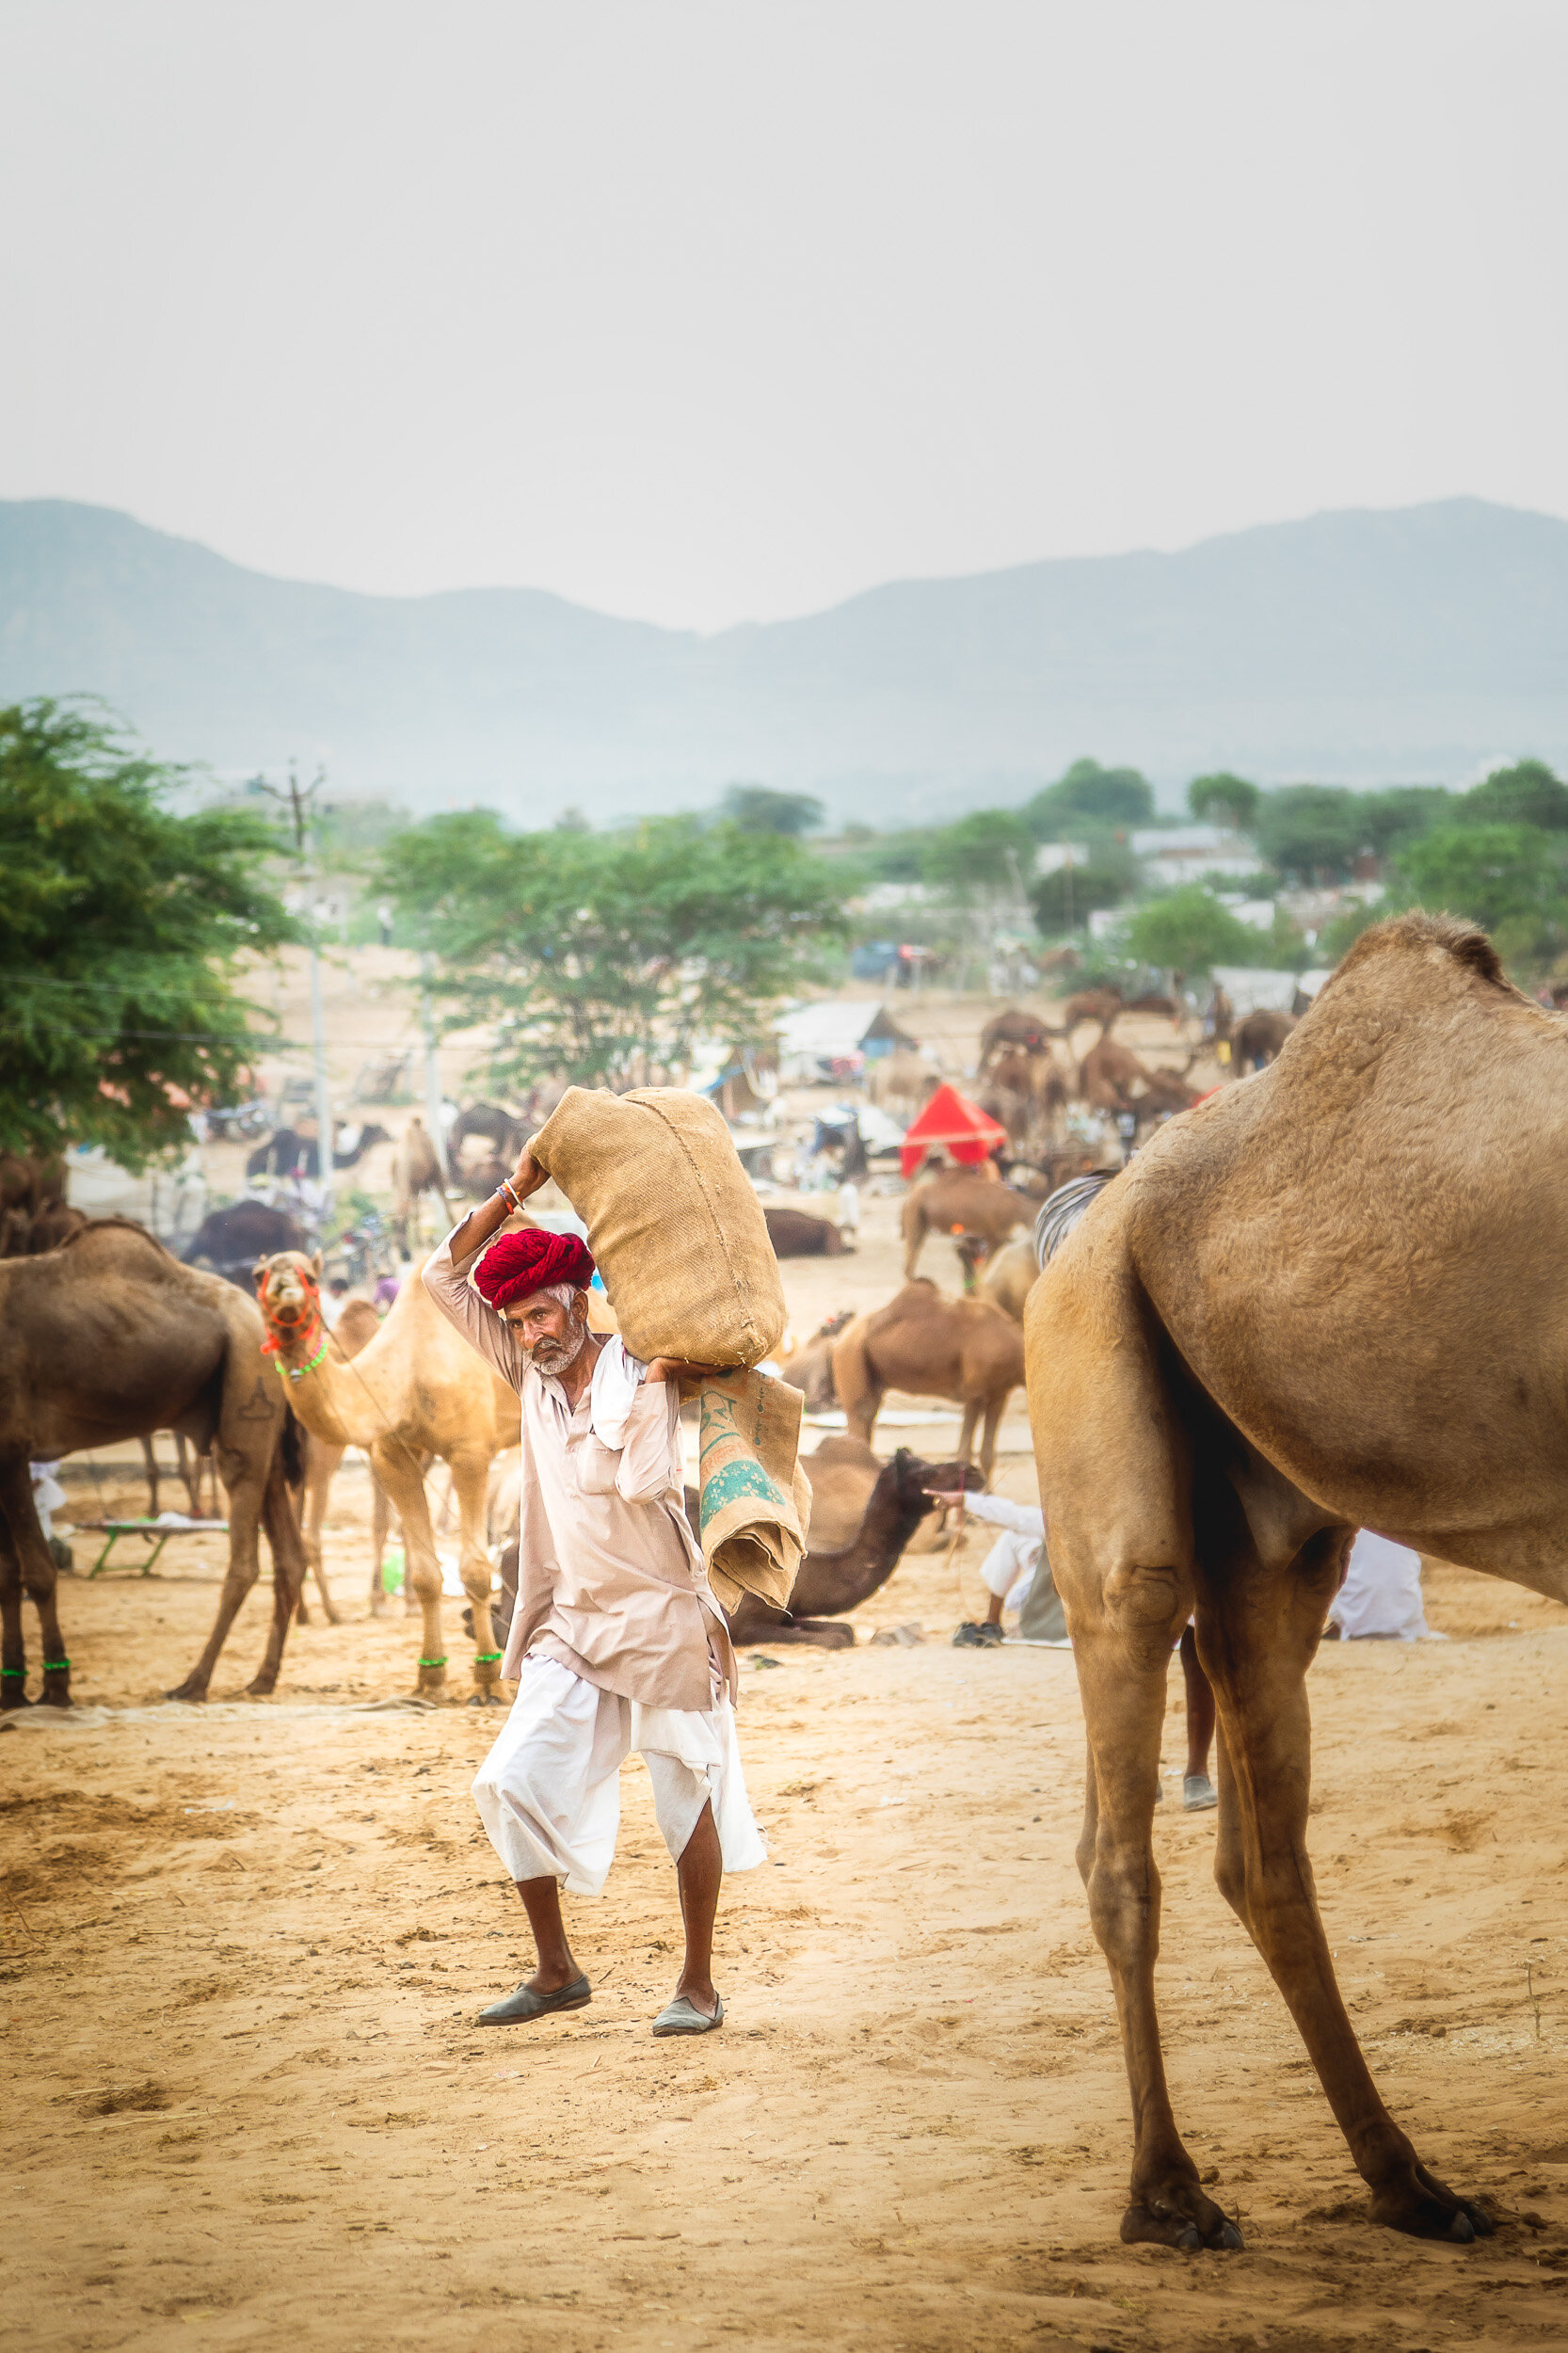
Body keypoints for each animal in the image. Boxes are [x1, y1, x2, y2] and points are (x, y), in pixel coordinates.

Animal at [0, 1220, 307, 1707]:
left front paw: (54, 1687)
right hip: (266, 1434)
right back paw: (261, 1679)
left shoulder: (12, 1442)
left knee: (244, 1556)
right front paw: (12, 1690)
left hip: (245, 1385)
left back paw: (194, 1682)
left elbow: (38, 1571)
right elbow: (7, 1575)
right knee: (289, 1555)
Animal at [253, 1249, 518, 1696]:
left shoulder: (470, 1452)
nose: (285, 1288)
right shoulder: (392, 1455)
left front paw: (487, 1682)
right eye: (260, 1275)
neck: (409, 1370)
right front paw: (429, 1677)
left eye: (309, 1276)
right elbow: (428, 1574)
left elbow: (475, 1570)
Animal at [833, 1280, 1024, 1481]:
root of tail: (841, 1338)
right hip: (850, 1356)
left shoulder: (999, 1394)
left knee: (868, 1419)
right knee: (860, 1414)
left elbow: (987, 1455)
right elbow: (964, 1454)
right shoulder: (975, 1394)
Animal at [1021, 911, 1568, 2255]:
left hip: (1278, 1530)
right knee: (1132, 1706)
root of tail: (1090, 1207)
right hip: (1093, 1355)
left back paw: (1409, 2182)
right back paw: (1170, 2195)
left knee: (1253, 1840)